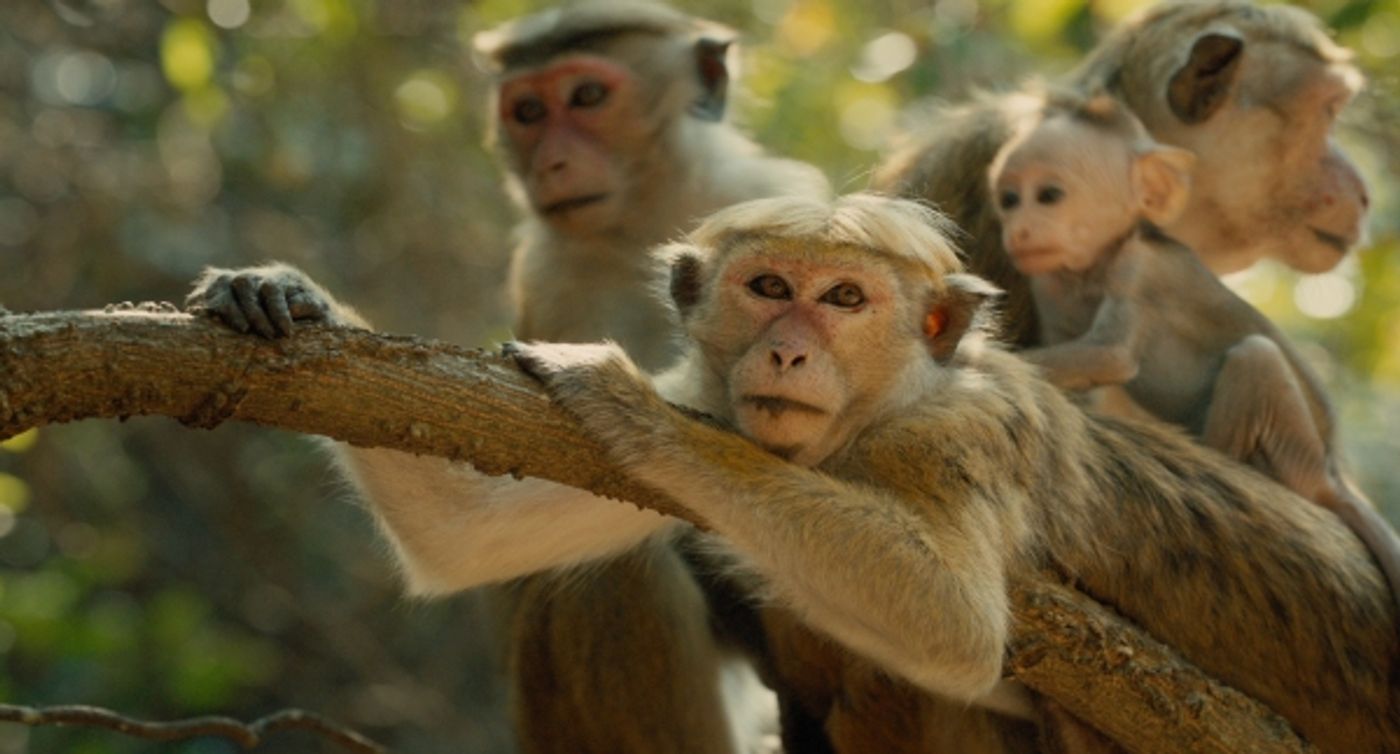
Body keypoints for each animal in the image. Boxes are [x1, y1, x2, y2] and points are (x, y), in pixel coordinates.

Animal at [188, 193, 1398, 754]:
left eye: (846, 298)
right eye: (769, 286)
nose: (787, 350)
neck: (862, 424)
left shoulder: (957, 434)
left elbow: (954, 626)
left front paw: (627, 403)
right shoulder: (714, 393)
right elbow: (462, 533)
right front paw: (288, 293)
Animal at [985, 90, 1400, 613]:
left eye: (1049, 196)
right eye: (1009, 200)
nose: (1017, 231)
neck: (1093, 267)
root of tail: (1332, 472)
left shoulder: (1139, 268)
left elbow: (1110, 355)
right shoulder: (1050, 282)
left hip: (1296, 455)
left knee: (1255, 354)